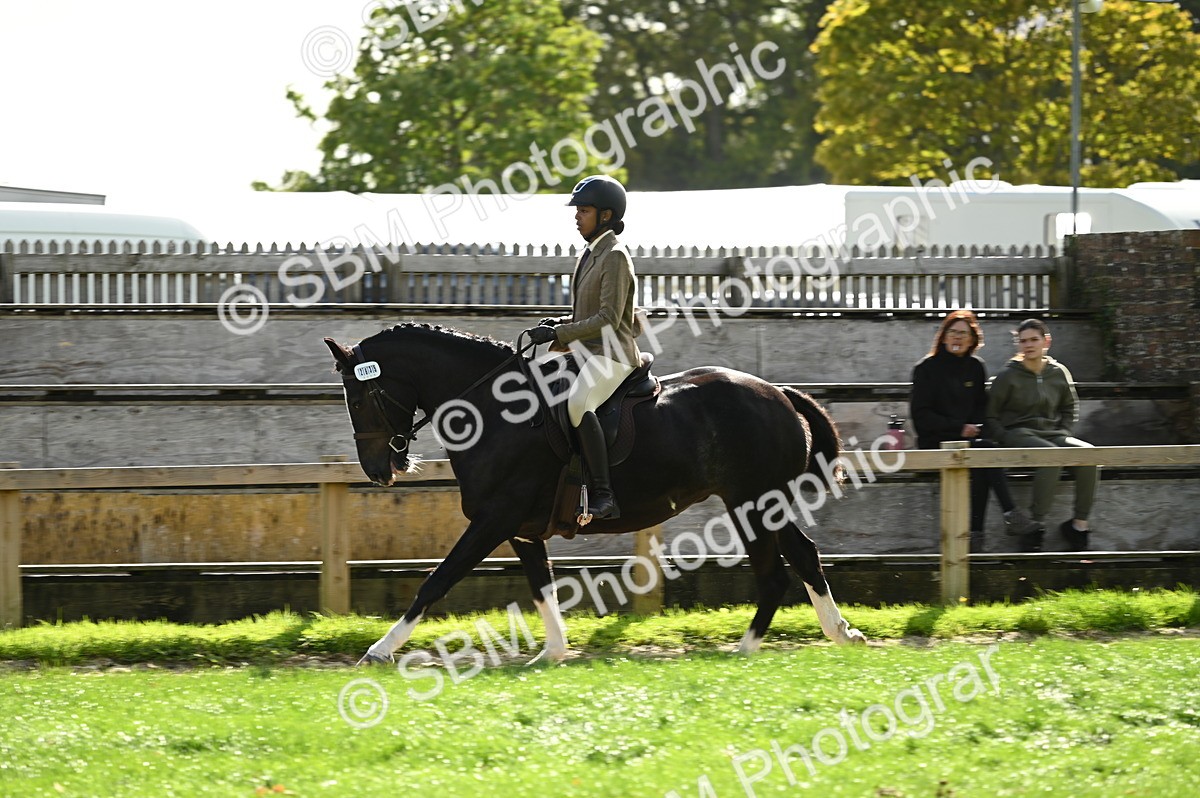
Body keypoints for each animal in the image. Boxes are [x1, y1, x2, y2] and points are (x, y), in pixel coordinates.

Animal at [323, 323, 865, 664]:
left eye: (360, 396)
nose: (379, 471)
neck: (495, 412)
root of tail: (778, 393)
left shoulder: (493, 521)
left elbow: (435, 582)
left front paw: (379, 650)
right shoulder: (520, 530)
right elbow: (541, 587)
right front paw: (553, 652)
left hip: (750, 504)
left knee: (775, 573)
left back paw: (746, 650)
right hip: (765, 504)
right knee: (804, 556)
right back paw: (841, 633)